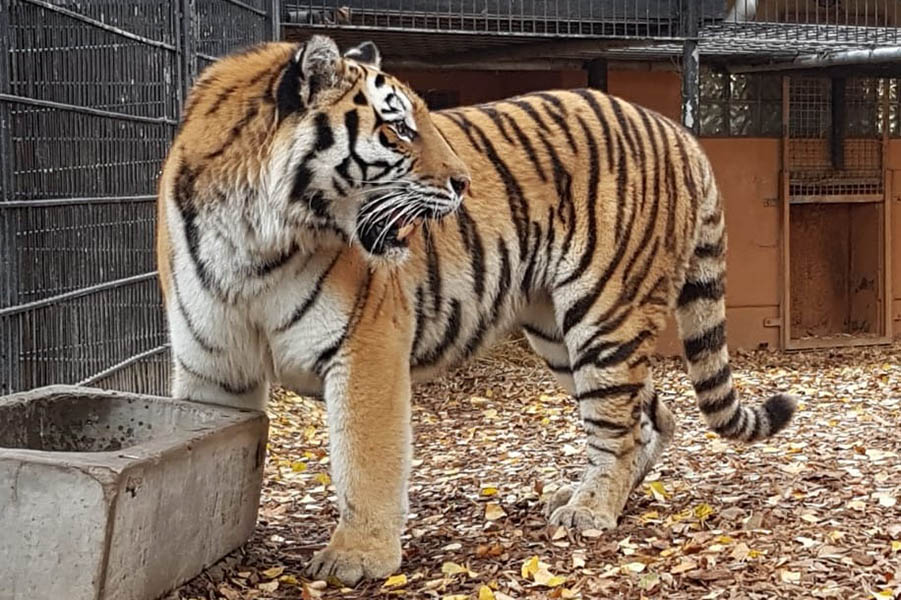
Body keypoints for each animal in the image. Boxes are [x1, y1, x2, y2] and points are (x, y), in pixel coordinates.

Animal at [155, 35, 796, 584]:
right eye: (397, 128)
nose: (464, 183)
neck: (252, 241)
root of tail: (677, 129)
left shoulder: (364, 349)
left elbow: (364, 459)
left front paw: (358, 557)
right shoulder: (213, 369)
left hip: (605, 312)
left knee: (618, 424)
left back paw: (590, 510)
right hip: (561, 333)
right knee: (648, 418)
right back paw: (587, 495)